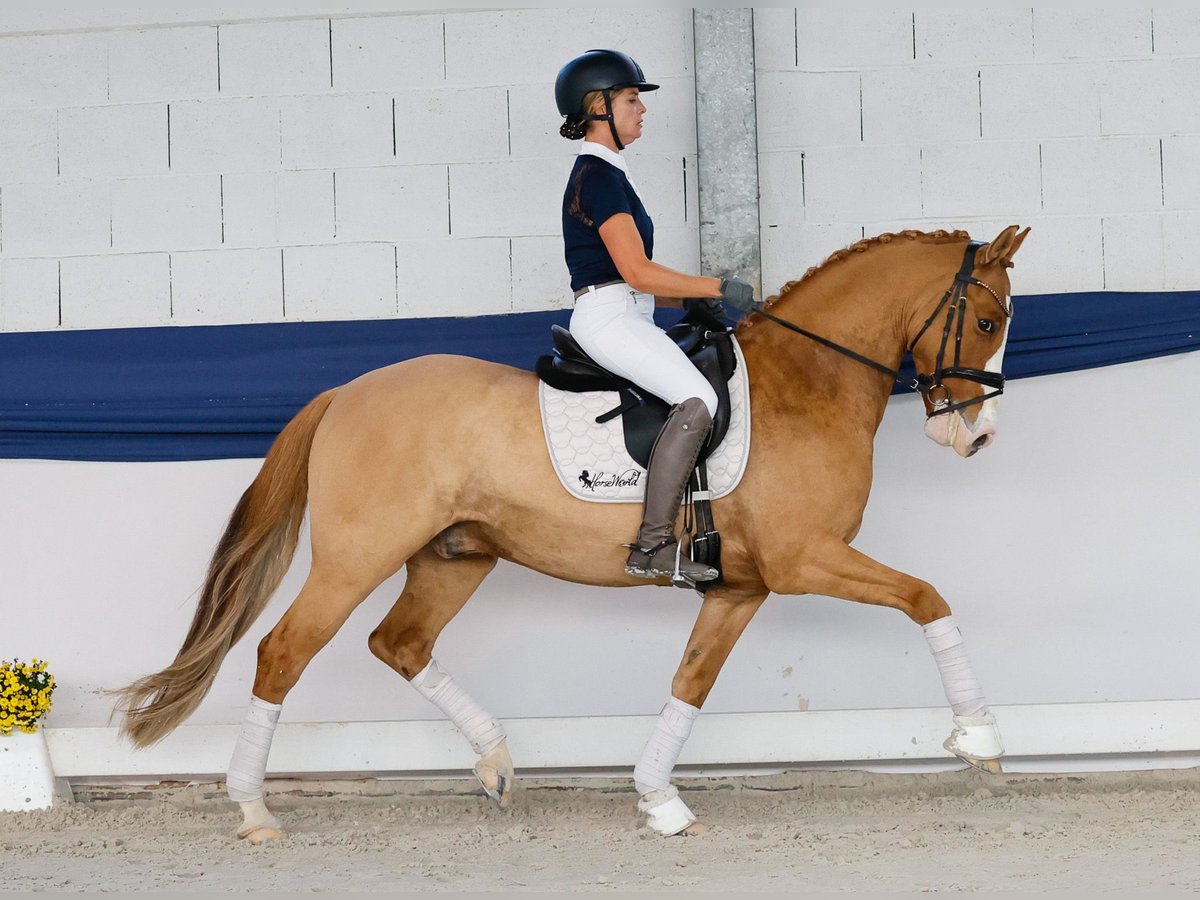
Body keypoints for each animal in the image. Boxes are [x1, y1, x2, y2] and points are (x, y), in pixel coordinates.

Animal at [114, 224, 1030, 842]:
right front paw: (980, 741)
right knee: (284, 652)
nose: (977, 437)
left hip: (456, 557)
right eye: (988, 324)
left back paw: (496, 763)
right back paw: (253, 809)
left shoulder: (742, 586)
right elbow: (927, 597)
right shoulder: (807, 560)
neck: (806, 382)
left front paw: (660, 799)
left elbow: (691, 680)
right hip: (356, 556)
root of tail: (345, 391)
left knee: (399, 643)